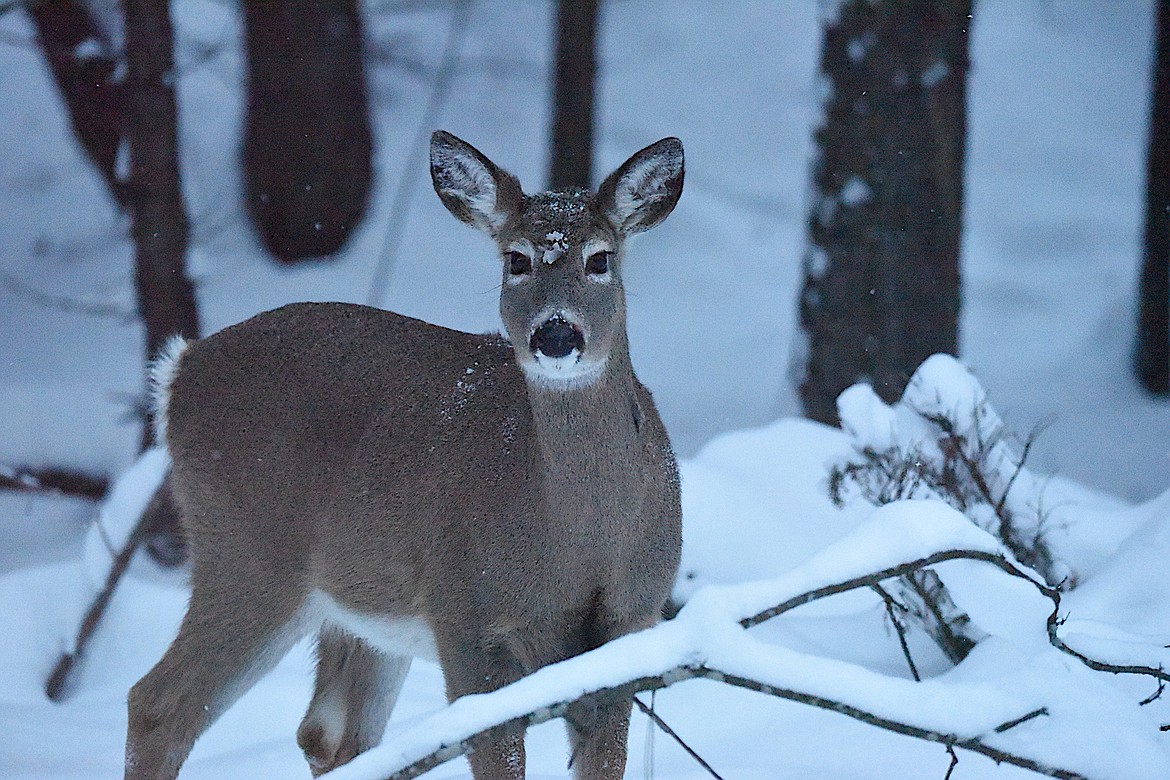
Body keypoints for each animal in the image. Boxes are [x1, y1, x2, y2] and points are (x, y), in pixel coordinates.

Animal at [123, 130, 683, 776]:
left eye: (600, 259)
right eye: (515, 260)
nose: (557, 333)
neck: (581, 547)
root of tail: (179, 372)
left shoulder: (632, 623)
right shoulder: (467, 615)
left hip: (358, 602)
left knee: (329, 733)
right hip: (247, 552)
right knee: (159, 704)